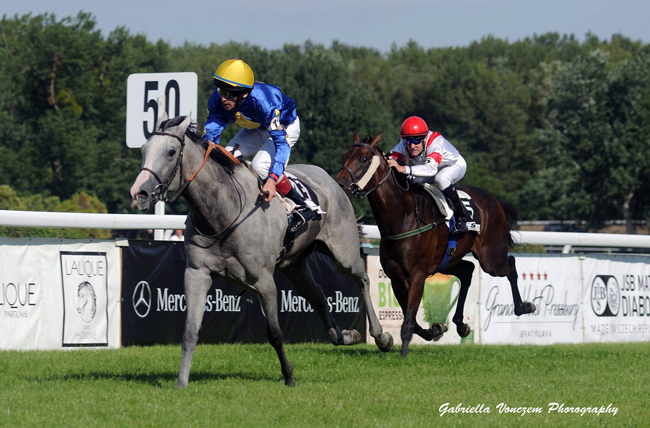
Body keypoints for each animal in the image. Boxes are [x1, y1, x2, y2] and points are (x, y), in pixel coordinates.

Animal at [126, 114, 390, 388]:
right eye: (144, 150)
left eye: (170, 152)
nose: (139, 193)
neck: (223, 213)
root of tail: (333, 181)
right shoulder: (197, 273)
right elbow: (189, 331)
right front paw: (182, 382)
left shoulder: (264, 281)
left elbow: (275, 333)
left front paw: (289, 375)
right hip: (294, 265)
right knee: (316, 294)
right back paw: (344, 336)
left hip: (343, 252)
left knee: (362, 279)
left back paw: (381, 337)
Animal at [332, 134, 536, 358]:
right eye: (345, 155)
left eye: (364, 159)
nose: (340, 184)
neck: (403, 217)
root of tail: (494, 200)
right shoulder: (396, 277)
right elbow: (412, 319)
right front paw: (435, 329)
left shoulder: (418, 275)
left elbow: (409, 321)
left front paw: (403, 354)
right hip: (448, 260)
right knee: (468, 270)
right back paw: (461, 325)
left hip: (491, 257)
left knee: (510, 264)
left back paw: (523, 307)